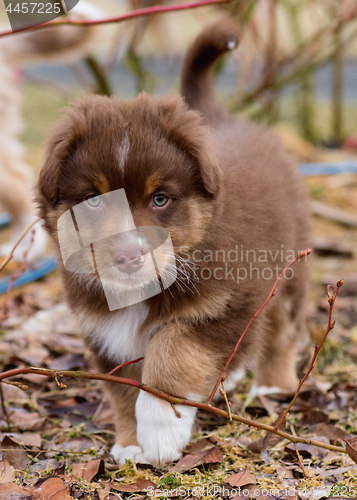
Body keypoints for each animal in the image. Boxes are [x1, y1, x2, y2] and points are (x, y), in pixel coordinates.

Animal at [36, 18, 308, 464]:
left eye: (160, 199)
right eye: (94, 200)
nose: (128, 255)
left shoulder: (230, 303)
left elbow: (174, 351)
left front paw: (163, 430)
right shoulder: (105, 330)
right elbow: (123, 387)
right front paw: (131, 444)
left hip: (290, 271)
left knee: (282, 330)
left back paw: (273, 385)